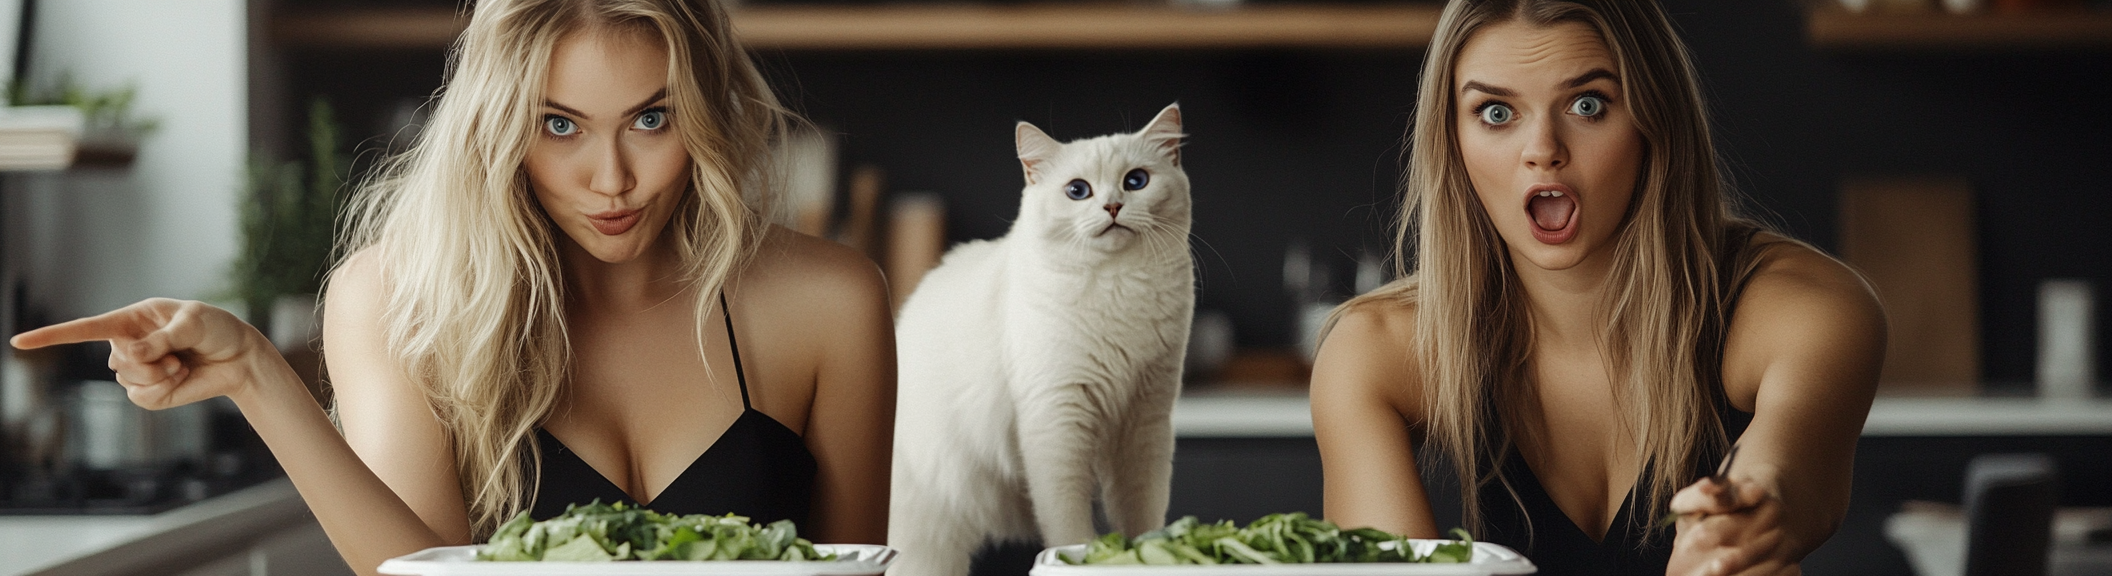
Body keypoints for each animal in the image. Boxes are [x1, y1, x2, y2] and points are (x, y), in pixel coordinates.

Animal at [887, 104, 1191, 573]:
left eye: (1136, 181)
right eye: (1077, 190)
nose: (1113, 205)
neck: (1119, 290)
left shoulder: (1145, 419)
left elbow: (1142, 513)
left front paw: (1146, 552)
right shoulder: (1057, 419)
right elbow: (1068, 523)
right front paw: (1083, 556)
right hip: (931, 540)